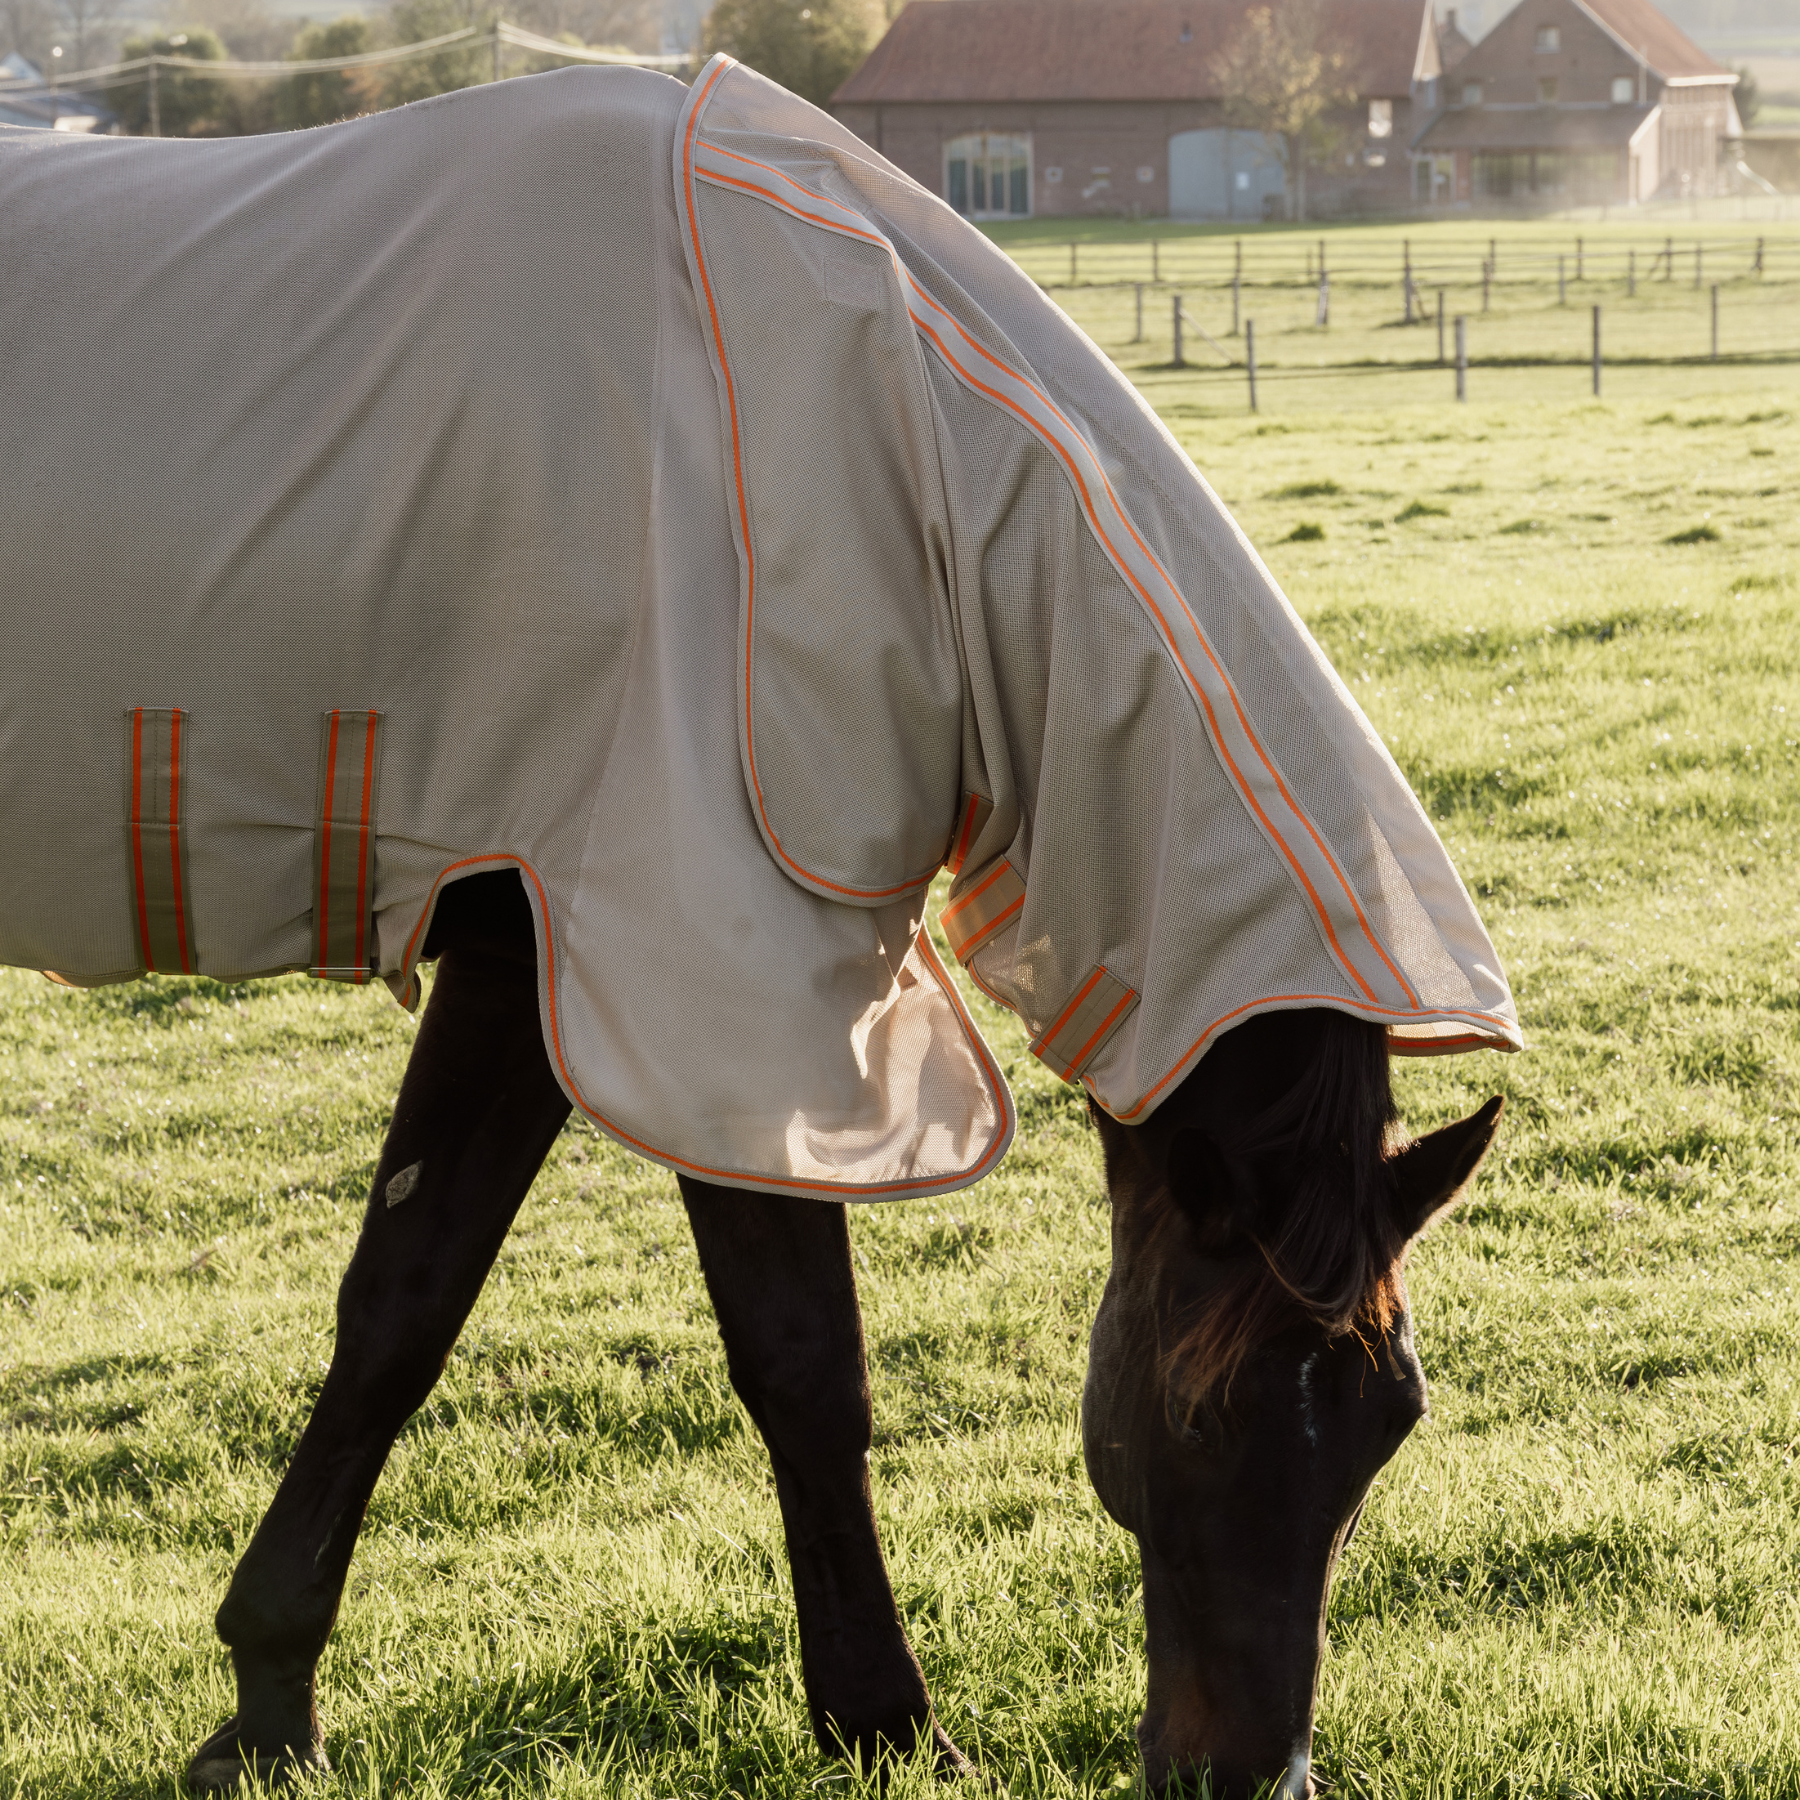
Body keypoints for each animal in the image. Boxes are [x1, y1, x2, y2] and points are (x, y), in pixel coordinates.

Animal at [0, 49, 1519, 1792]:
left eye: (1390, 1415)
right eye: (1207, 1414)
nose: (1247, 1773)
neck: (841, 407)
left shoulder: (607, 967)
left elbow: (416, 1304)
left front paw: (267, 1695)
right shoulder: (653, 964)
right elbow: (730, 1352)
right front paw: (885, 1716)